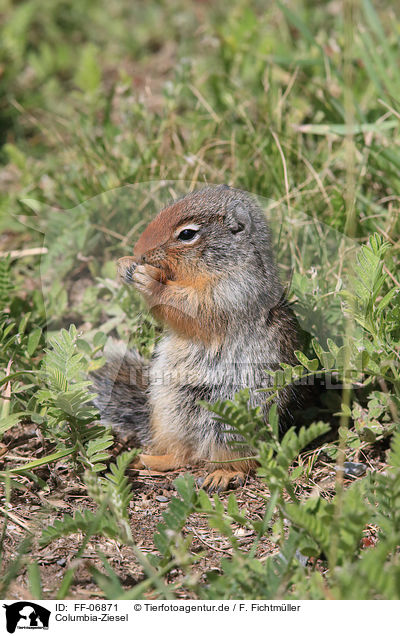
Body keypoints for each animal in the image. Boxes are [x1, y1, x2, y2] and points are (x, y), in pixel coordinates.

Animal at [93, 184, 300, 492]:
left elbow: (192, 309)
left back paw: (222, 474)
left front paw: (150, 280)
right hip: (170, 409)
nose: (139, 252)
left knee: (237, 460)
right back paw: (148, 460)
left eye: (187, 234)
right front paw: (125, 265)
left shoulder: (232, 292)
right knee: (183, 454)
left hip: (231, 423)